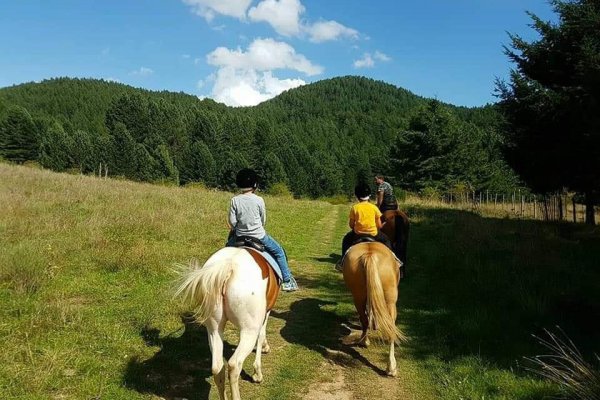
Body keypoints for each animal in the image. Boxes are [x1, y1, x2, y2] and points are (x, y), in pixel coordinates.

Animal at [176, 247, 282, 400]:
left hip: (214, 330)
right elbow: (261, 335)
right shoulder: (265, 313)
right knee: (234, 365)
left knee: (217, 367)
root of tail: (229, 266)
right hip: (249, 331)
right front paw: (258, 372)